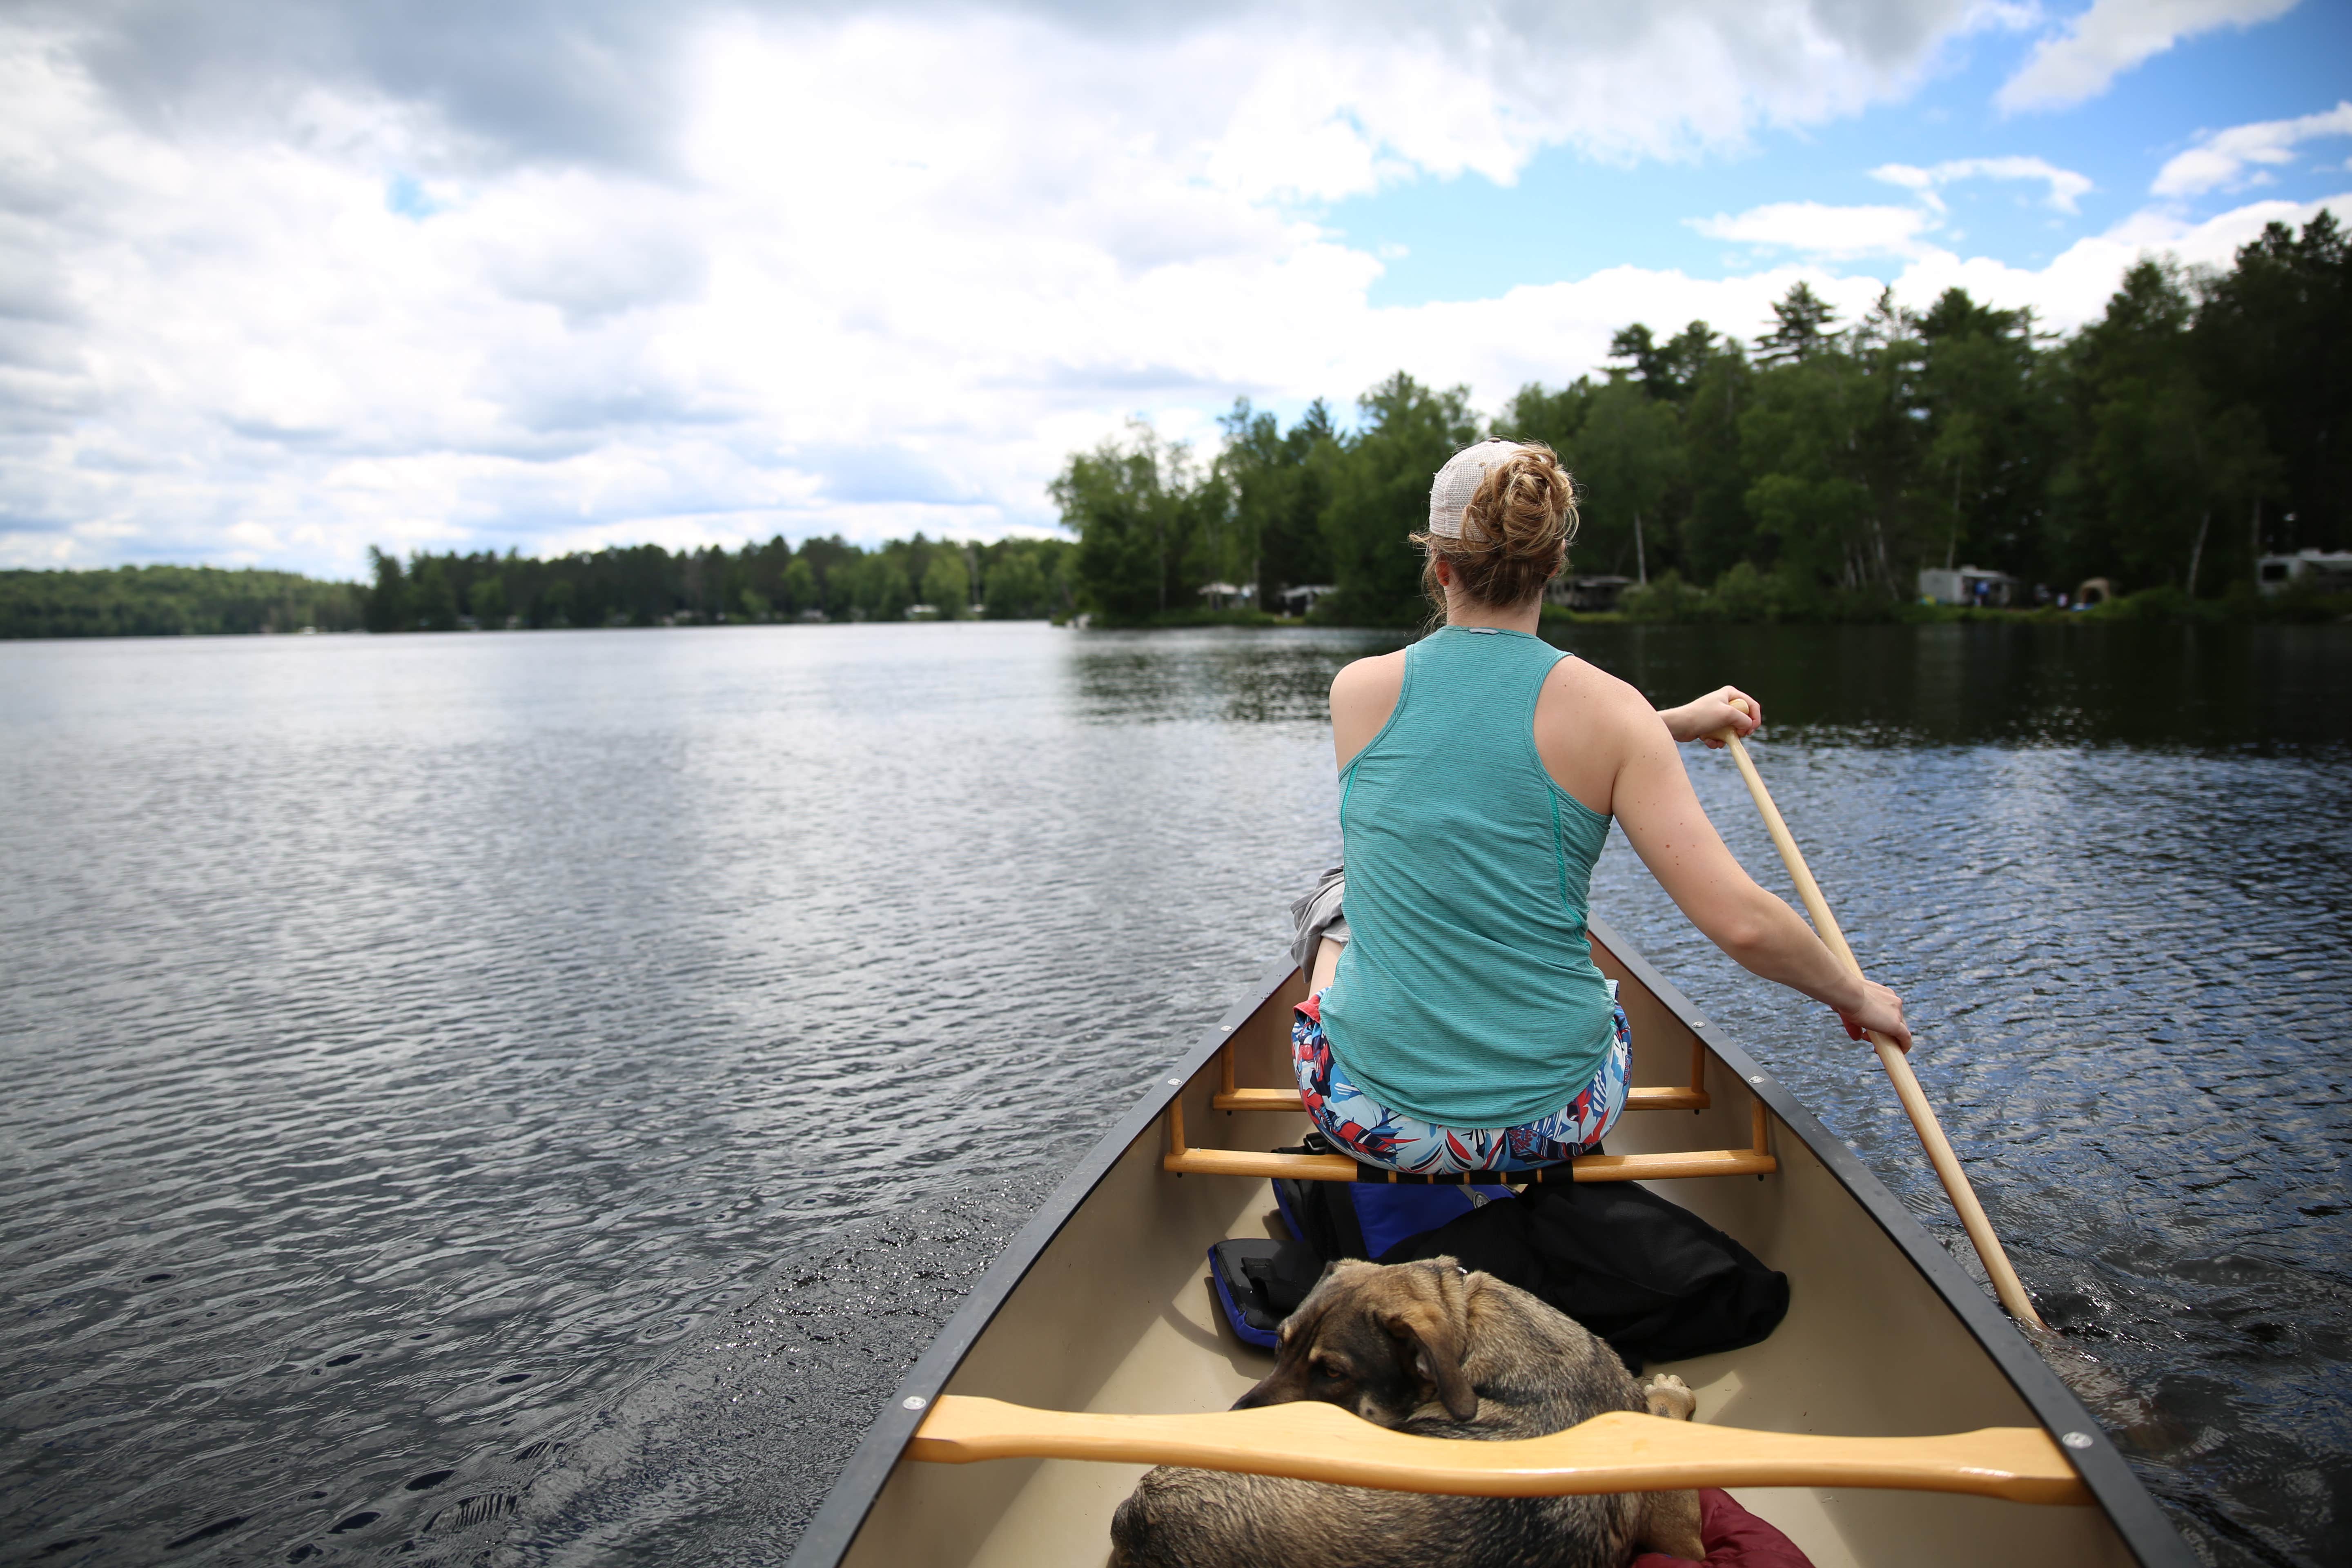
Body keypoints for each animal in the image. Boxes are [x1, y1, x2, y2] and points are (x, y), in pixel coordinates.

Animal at [1110, 1260, 1703, 1568]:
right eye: (1279, 1343)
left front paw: (1670, 1395)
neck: (1469, 1333)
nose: (1229, 1426)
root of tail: (1142, 1522)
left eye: (1332, 1373)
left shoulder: (1682, 1539)